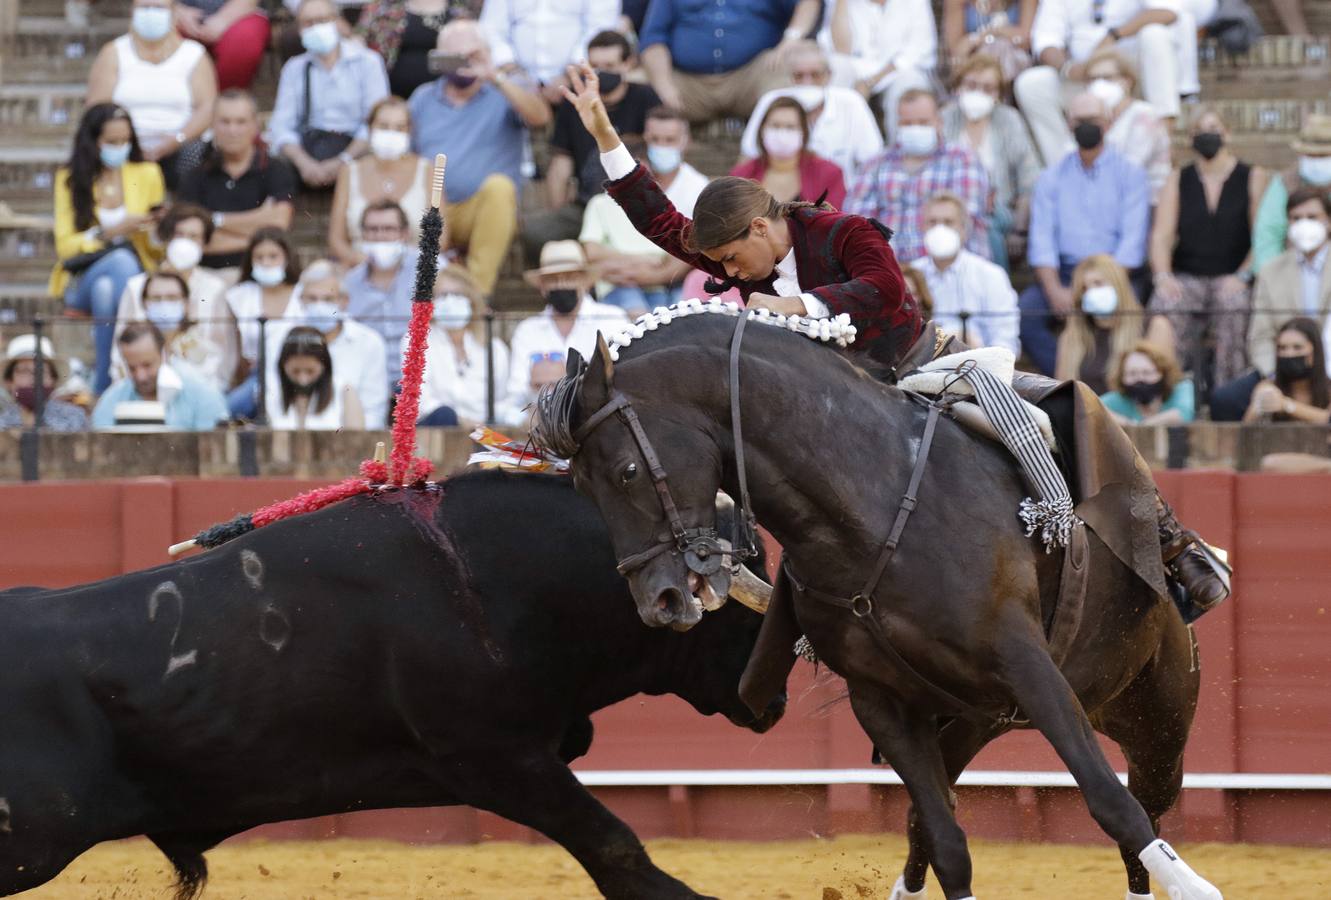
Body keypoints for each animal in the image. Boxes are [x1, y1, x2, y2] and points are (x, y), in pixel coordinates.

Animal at [535, 311, 1219, 900]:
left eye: (626, 471)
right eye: (580, 486)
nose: (661, 600)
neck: (868, 503)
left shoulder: (1025, 662)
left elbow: (1109, 801)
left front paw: (1198, 889)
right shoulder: (880, 701)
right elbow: (946, 841)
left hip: (1158, 721)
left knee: (1145, 806)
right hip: (977, 719)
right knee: (926, 820)